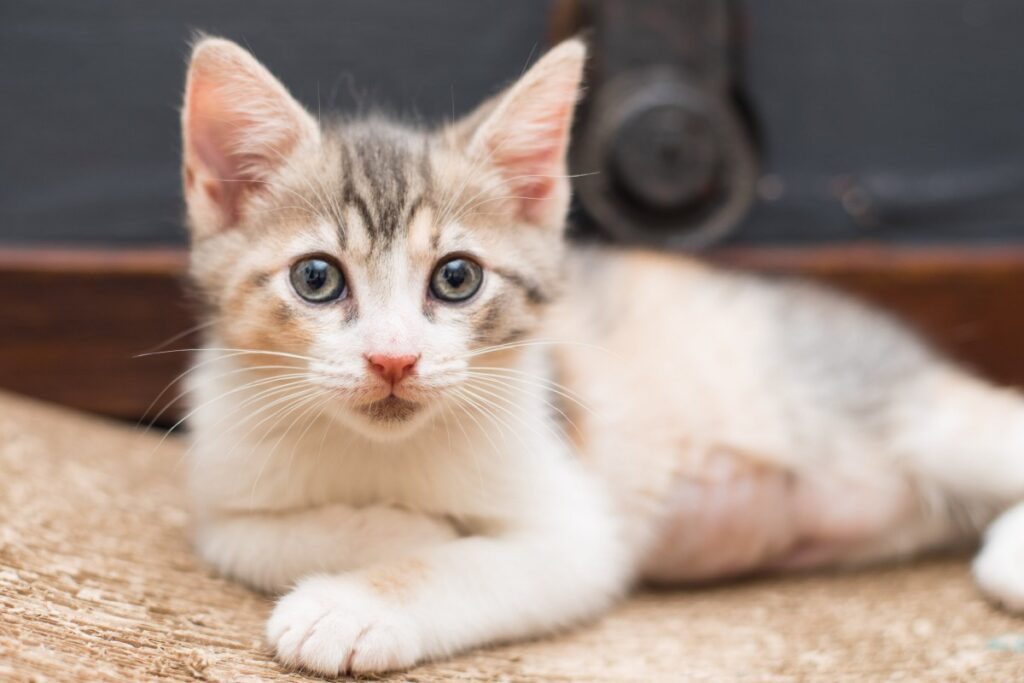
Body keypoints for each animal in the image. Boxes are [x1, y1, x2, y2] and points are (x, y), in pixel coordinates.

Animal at [178, 36, 1024, 671]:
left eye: (456, 277)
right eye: (317, 278)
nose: (394, 360)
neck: (375, 451)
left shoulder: (578, 527)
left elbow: (479, 561)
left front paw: (350, 602)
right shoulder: (222, 473)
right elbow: (238, 534)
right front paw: (397, 527)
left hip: (901, 413)